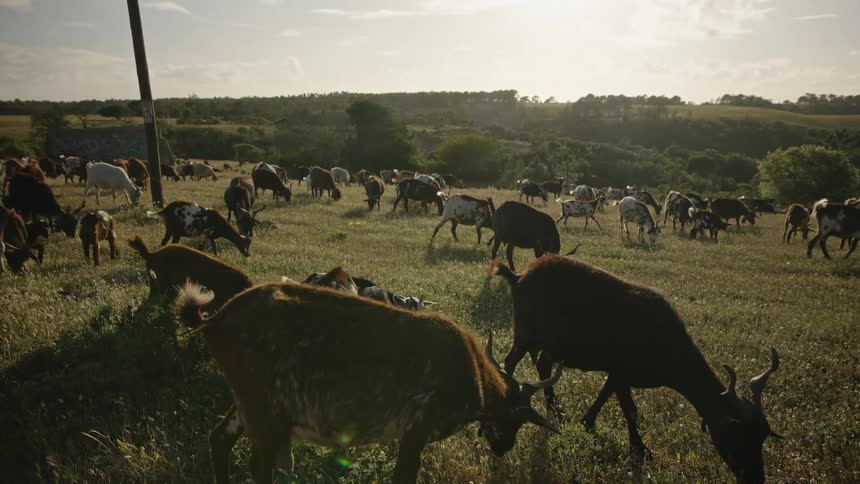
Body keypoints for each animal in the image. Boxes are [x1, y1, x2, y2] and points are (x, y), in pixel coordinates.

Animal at [175, 281, 560, 483]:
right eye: (518, 420)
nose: (503, 448)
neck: (475, 381)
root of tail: (212, 321)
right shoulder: (418, 424)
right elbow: (405, 475)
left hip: (248, 400)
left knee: (219, 438)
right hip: (264, 405)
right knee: (258, 464)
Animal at [491, 255, 782, 482]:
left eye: (762, 437)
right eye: (736, 438)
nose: (755, 478)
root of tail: (518, 276)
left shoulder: (618, 373)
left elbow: (605, 395)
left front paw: (587, 422)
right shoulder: (622, 371)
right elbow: (630, 410)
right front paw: (640, 450)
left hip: (552, 344)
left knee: (542, 364)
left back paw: (556, 409)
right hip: (525, 333)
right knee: (510, 360)